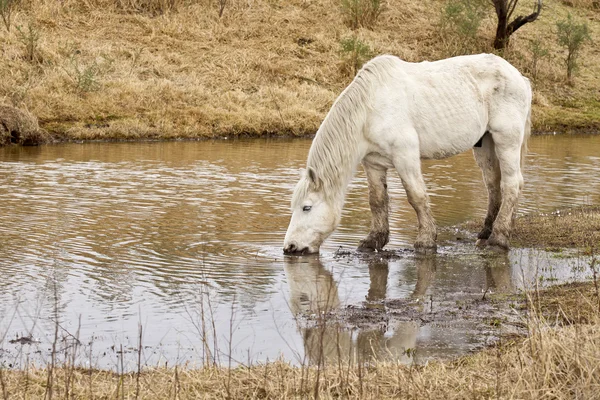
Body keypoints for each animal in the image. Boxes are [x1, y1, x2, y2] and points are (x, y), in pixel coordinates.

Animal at [284, 53, 532, 255]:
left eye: (307, 207)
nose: (290, 247)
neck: (370, 108)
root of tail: (520, 77)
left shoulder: (405, 156)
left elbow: (416, 197)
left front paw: (425, 241)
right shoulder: (373, 164)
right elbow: (377, 200)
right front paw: (373, 241)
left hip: (506, 140)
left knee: (511, 184)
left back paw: (498, 238)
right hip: (485, 144)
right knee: (493, 186)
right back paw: (485, 234)